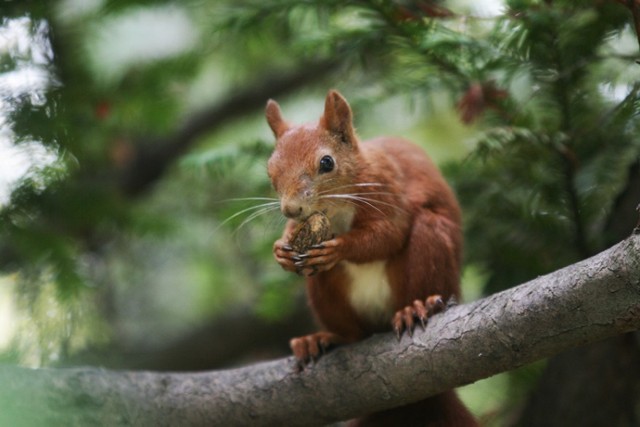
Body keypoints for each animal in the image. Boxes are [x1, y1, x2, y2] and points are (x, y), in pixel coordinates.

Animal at [264, 91, 476, 427]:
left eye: (327, 162)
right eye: (270, 170)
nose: (290, 209)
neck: (335, 211)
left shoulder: (389, 190)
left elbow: (387, 235)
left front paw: (339, 248)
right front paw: (281, 249)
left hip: (431, 246)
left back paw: (418, 307)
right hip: (327, 294)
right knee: (354, 334)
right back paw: (322, 340)